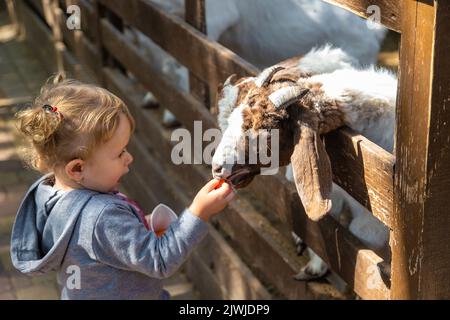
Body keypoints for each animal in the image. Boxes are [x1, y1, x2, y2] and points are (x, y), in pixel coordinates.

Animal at [210, 45, 394, 280]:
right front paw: (315, 266)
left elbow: (355, 245)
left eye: (266, 129)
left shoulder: (375, 223)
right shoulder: (332, 192)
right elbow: (324, 227)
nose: (217, 168)